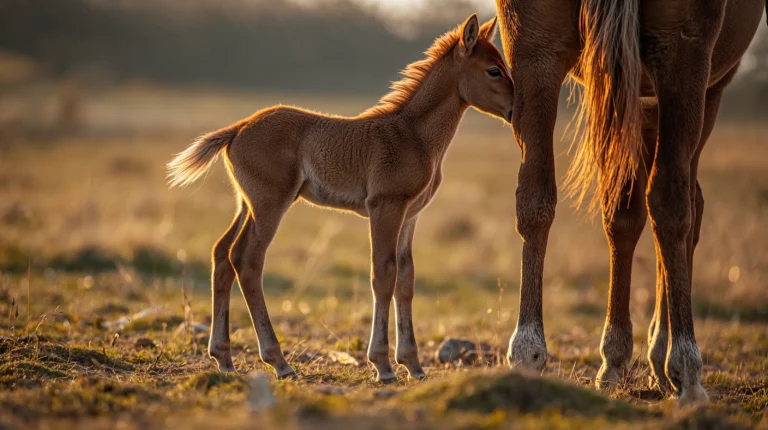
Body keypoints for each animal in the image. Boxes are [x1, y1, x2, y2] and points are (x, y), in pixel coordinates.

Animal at [167, 14, 513, 384]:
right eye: (494, 70)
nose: (515, 108)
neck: (413, 135)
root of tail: (239, 127)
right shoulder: (385, 206)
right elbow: (383, 275)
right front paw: (383, 365)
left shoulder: (411, 213)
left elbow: (406, 278)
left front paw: (414, 365)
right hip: (270, 204)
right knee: (247, 261)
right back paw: (279, 361)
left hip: (247, 204)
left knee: (222, 253)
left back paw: (224, 357)